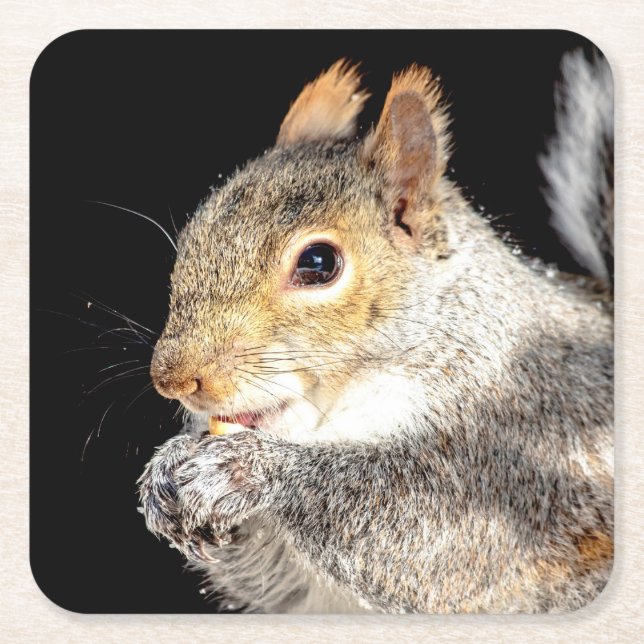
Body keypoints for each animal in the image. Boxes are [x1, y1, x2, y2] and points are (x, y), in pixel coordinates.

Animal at [138, 52, 613, 613]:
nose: (173, 379)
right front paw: (166, 471)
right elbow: (268, 575)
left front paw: (244, 470)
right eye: (193, 237)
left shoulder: (517, 451)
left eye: (319, 263)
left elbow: (431, 536)